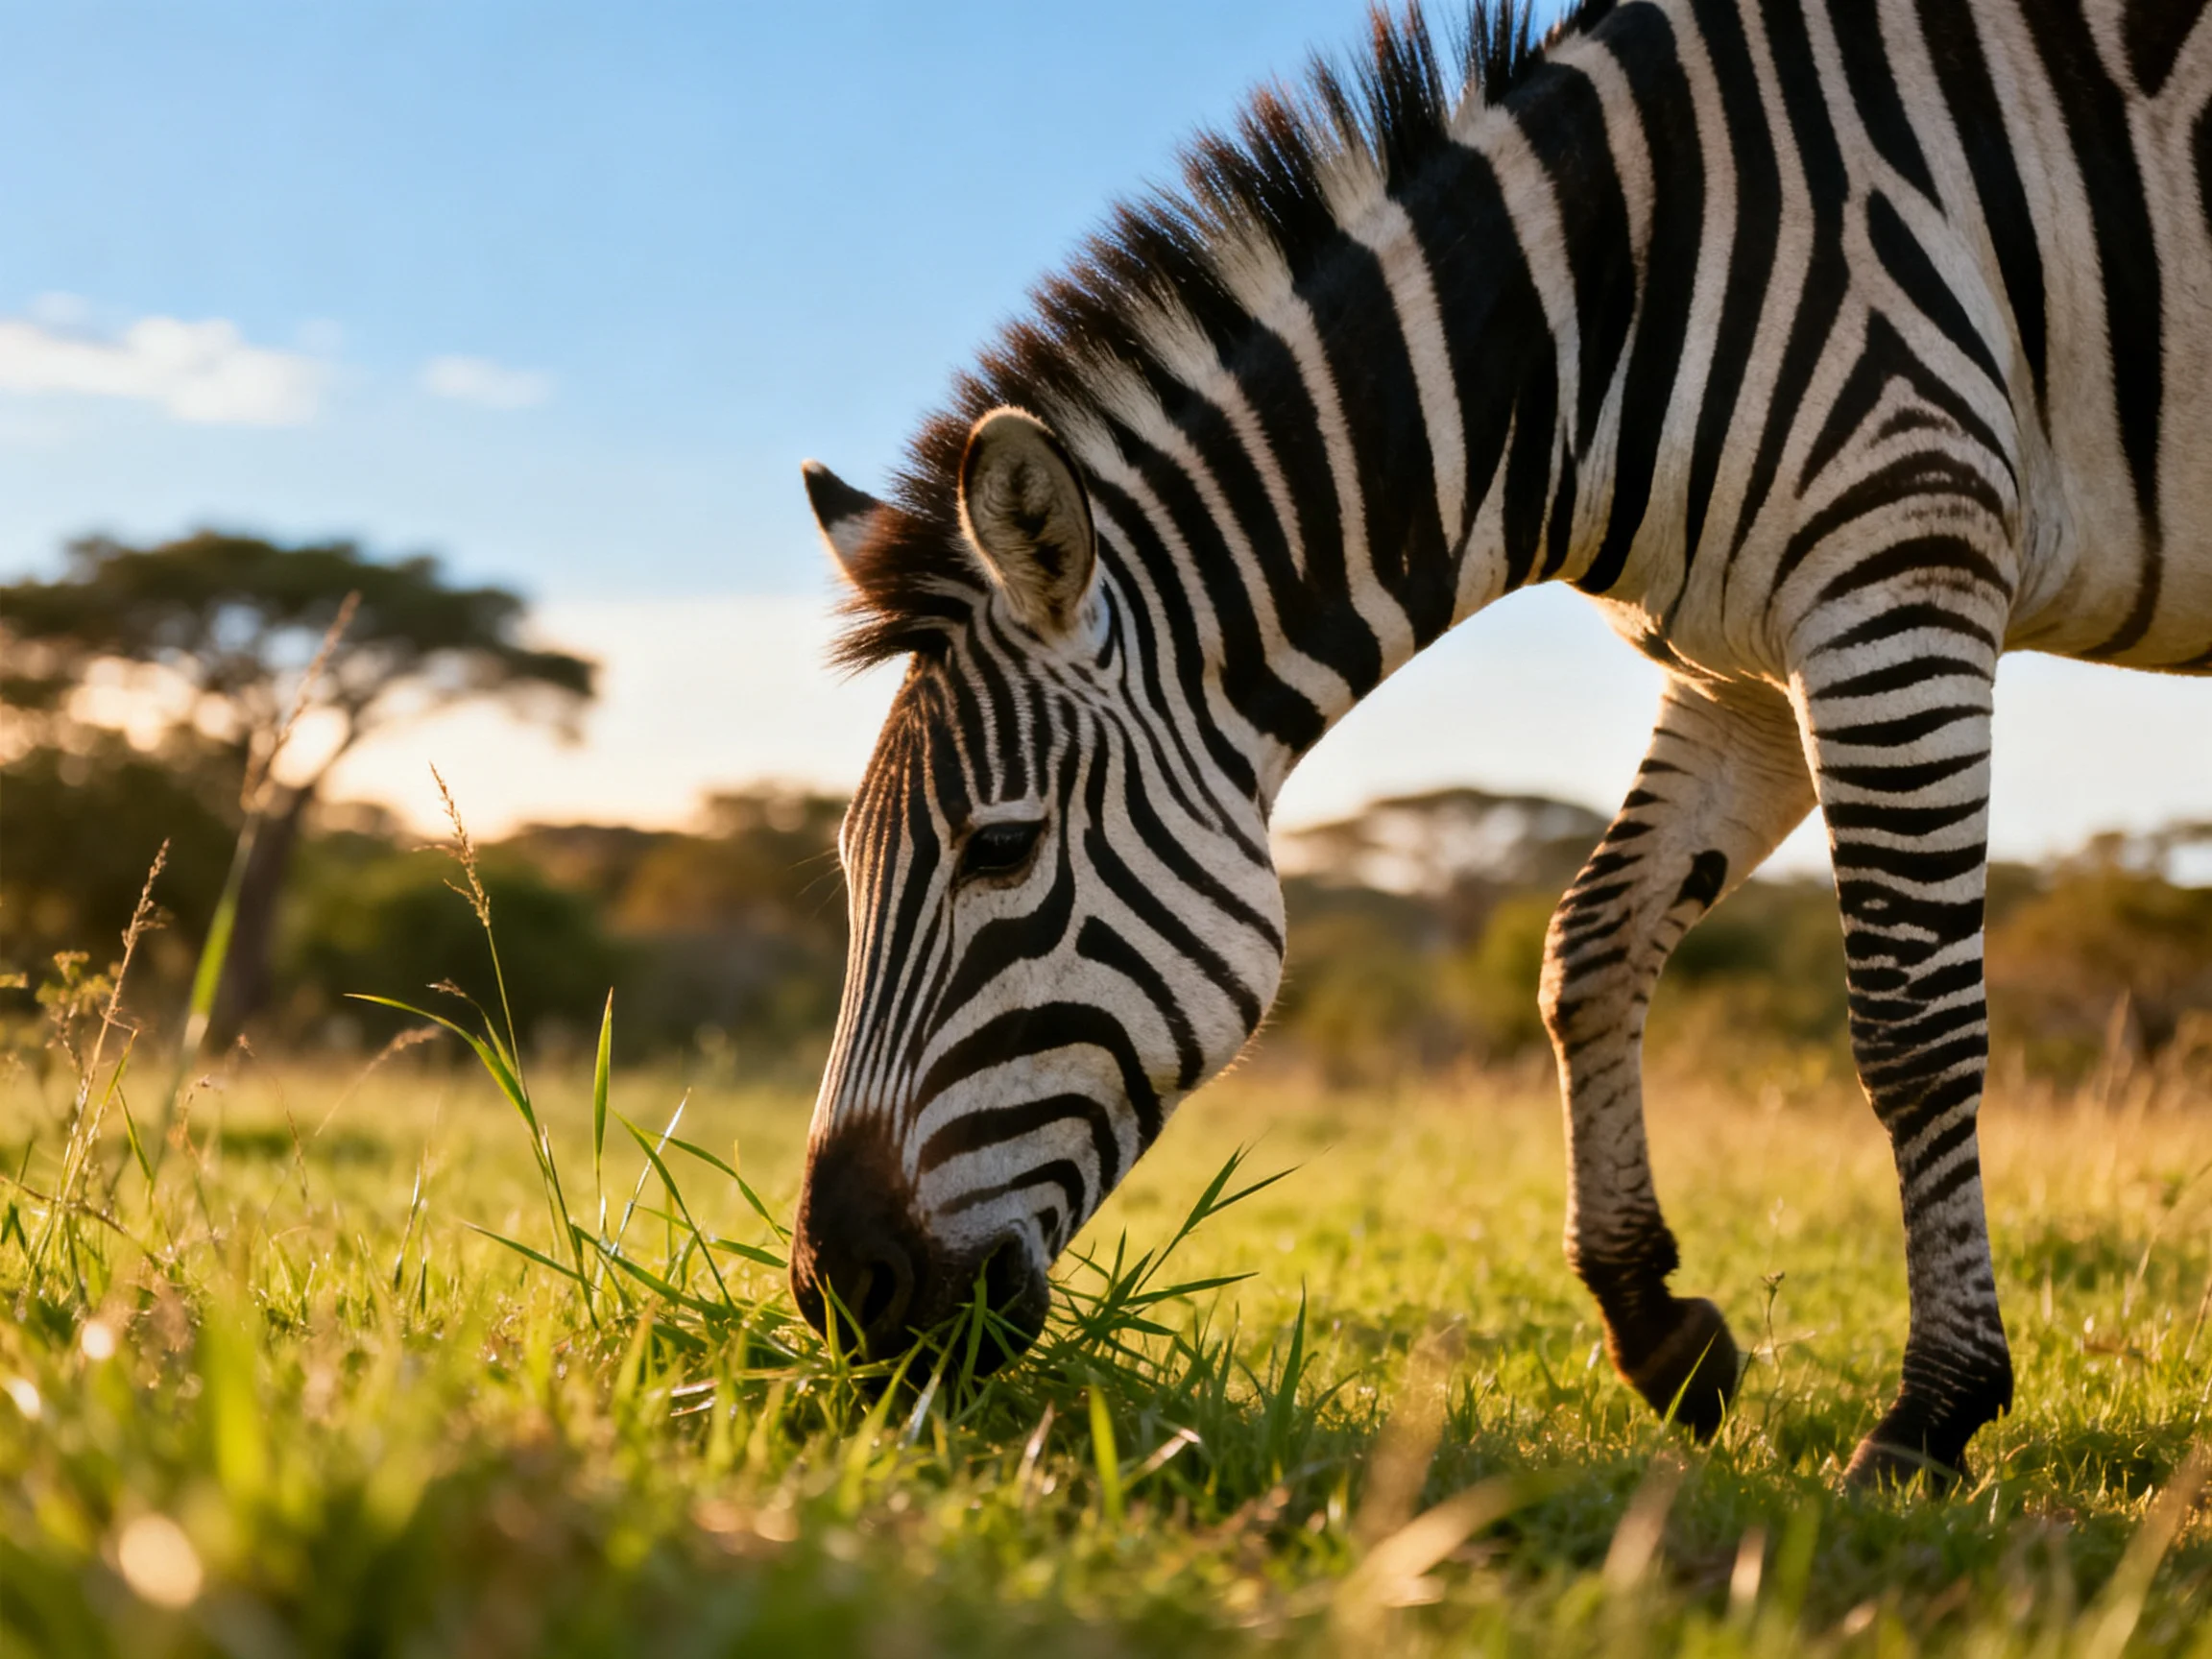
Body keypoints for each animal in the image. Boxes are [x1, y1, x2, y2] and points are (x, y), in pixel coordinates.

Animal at [787, 0, 2212, 1485]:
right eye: (850, 870)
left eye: (1001, 850)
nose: (842, 1300)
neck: (1606, 313)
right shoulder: (1747, 659)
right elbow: (1589, 947)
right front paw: (1658, 1329)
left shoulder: (1897, 563)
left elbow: (1910, 1020)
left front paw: (1932, 1413)